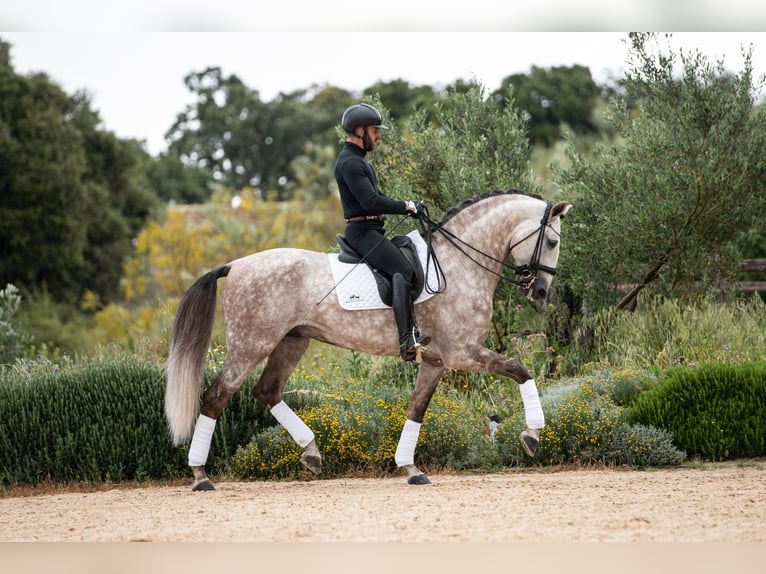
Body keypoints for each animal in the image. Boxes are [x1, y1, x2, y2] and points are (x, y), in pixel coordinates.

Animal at [165, 190, 572, 490]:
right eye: (552, 241)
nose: (539, 290)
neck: (458, 264)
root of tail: (234, 265)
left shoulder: (436, 361)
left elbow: (416, 409)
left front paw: (410, 468)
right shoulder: (462, 353)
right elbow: (521, 370)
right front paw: (532, 435)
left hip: (291, 341)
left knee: (267, 391)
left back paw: (311, 452)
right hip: (252, 344)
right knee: (215, 397)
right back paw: (200, 476)